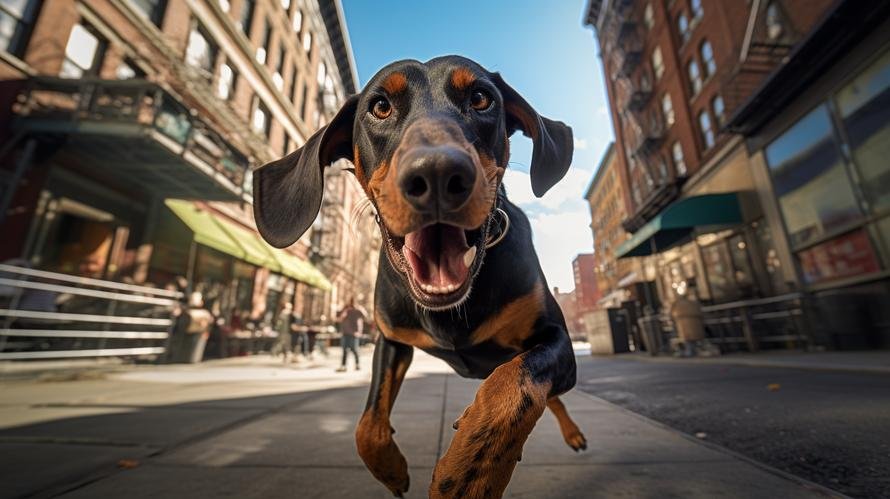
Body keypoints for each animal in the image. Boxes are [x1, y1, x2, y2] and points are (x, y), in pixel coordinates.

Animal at [251, 55, 584, 499]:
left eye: (481, 98)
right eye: (380, 107)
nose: (439, 173)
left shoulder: (554, 340)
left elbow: (513, 386)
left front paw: (468, 471)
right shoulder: (391, 341)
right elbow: (367, 425)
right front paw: (391, 469)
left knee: (547, 394)